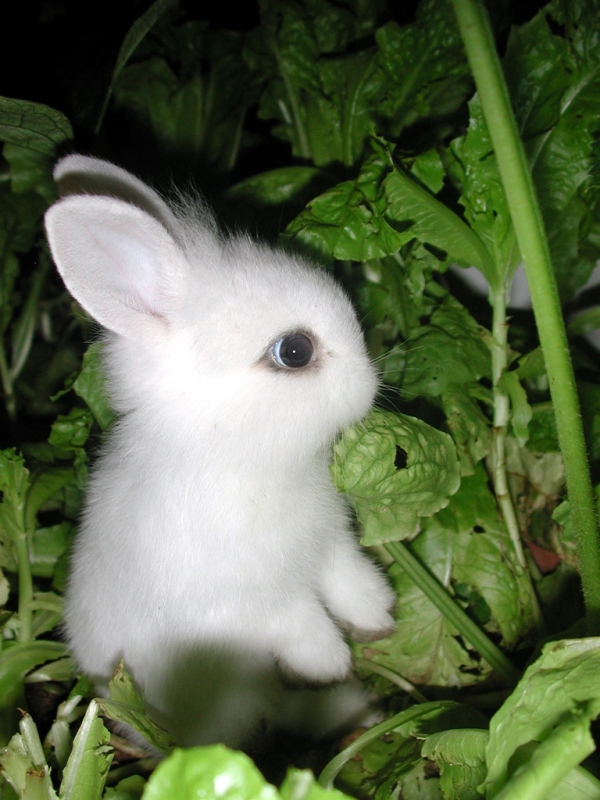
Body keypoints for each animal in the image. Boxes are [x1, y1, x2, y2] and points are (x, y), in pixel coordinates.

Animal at [44, 155, 396, 749]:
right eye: (294, 351)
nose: (371, 382)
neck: (234, 457)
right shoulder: (252, 601)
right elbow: (301, 623)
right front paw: (333, 662)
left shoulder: (328, 546)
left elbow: (348, 581)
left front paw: (379, 619)